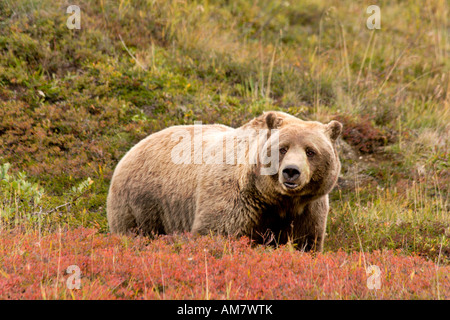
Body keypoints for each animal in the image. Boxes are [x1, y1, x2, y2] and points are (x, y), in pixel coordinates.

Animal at [108, 111, 342, 251]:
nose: (291, 172)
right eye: (282, 148)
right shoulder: (234, 199)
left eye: (310, 151)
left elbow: (305, 243)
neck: (275, 199)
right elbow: (217, 233)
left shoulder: (308, 210)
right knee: (134, 232)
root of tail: (132, 148)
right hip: (142, 201)